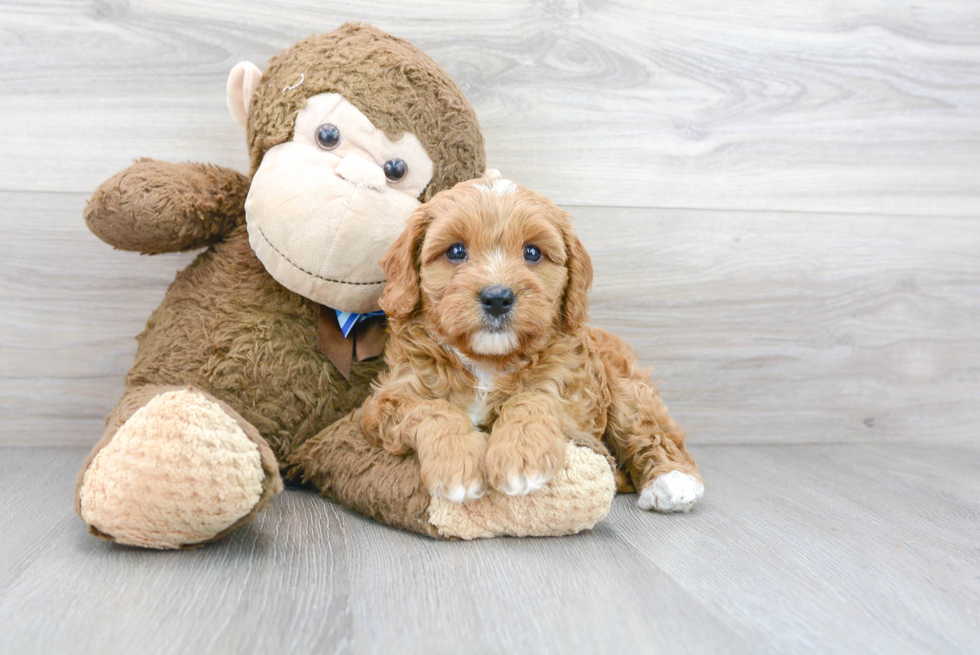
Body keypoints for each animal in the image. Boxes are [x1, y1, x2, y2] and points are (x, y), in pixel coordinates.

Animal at [360, 178, 704, 512]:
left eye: (533, 252)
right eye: (456, 251)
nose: (497, 297)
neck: (487, 361)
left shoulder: (569, 390)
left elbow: (531, 400)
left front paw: (519, 457)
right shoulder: (390, 398)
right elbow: (434, 409)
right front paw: (456, 464)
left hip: (624, 385)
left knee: (647, 427)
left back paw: (674, 481)